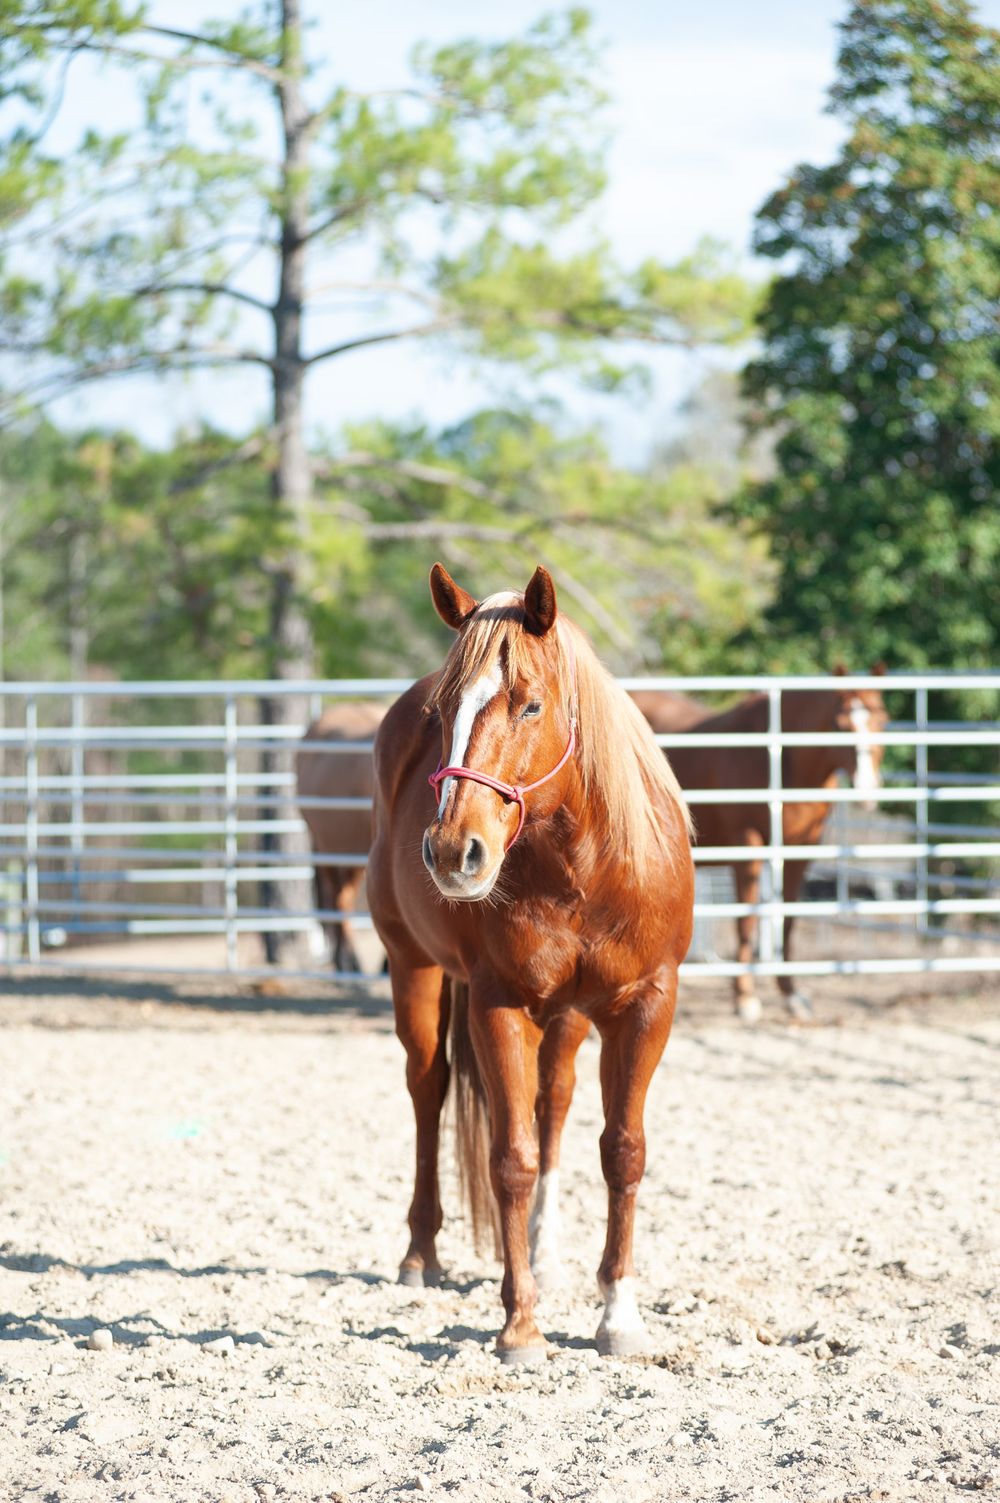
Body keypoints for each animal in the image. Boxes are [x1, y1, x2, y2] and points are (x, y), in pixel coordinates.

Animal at [367, 564, 693, 1364]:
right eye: (442, 712)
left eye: (531, 704)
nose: (453, 851)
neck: (582, 869)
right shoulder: (499, 1004)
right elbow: (509, 1158)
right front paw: (520, 1324)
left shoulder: (647, 1005)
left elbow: (623, 1150)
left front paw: (619, 1313)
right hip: (412, 969)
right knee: (428, 1089)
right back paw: (420, 1254)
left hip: (568, 1016)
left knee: (556, 1102)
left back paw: (545, 1251)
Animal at [632, 667, 888, 1022]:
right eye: (840, 724)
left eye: (883, 720)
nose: (867, 789)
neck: (781, 762)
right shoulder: (748, 842)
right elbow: (747, 919)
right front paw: (745, 999)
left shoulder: (801, 848)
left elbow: (789, 919)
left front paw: (791, 995)